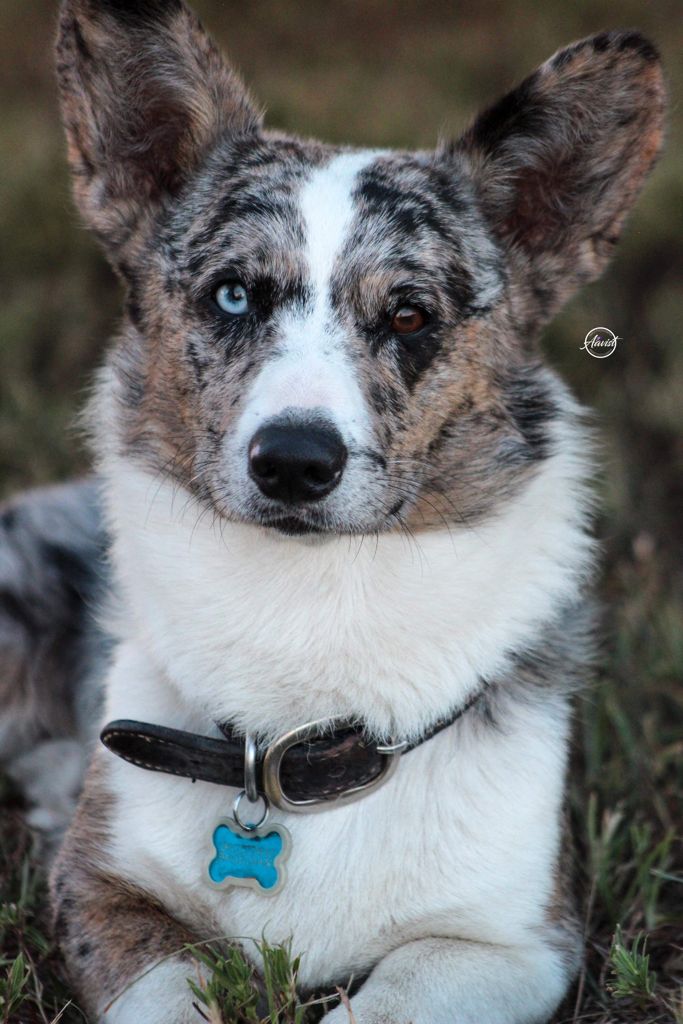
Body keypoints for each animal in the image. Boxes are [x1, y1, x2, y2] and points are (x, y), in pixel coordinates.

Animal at [0, 4, 663, 1019]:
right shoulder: (100, 887)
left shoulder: (514, 941)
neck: (311, 610)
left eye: (410, 317)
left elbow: (390, 996)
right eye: (233, 294)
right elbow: (169, 991)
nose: (294, 463)